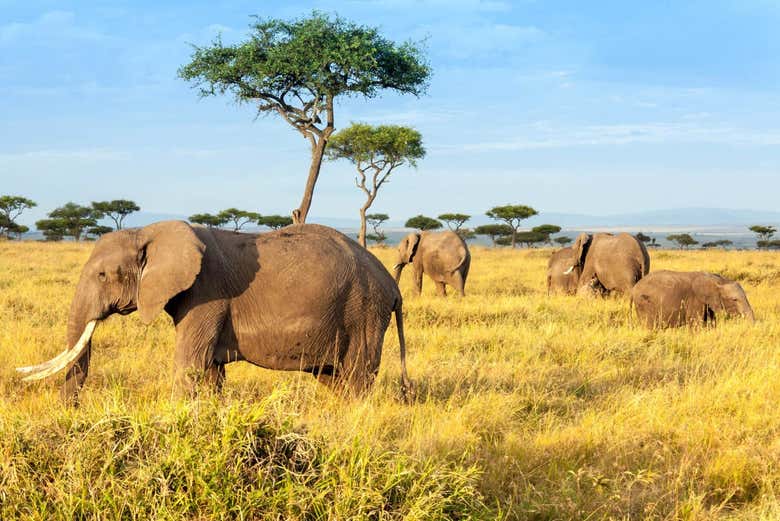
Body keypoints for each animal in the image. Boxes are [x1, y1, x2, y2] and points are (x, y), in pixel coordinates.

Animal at [16, 221, 411, 402]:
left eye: (102, 275)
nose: (71, 411)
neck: (148, 231)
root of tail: (393, 287)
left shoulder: (207, 294)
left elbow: (189, 365)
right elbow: (210, 373)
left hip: (363, 309)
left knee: (356, 378)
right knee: (333, 379)